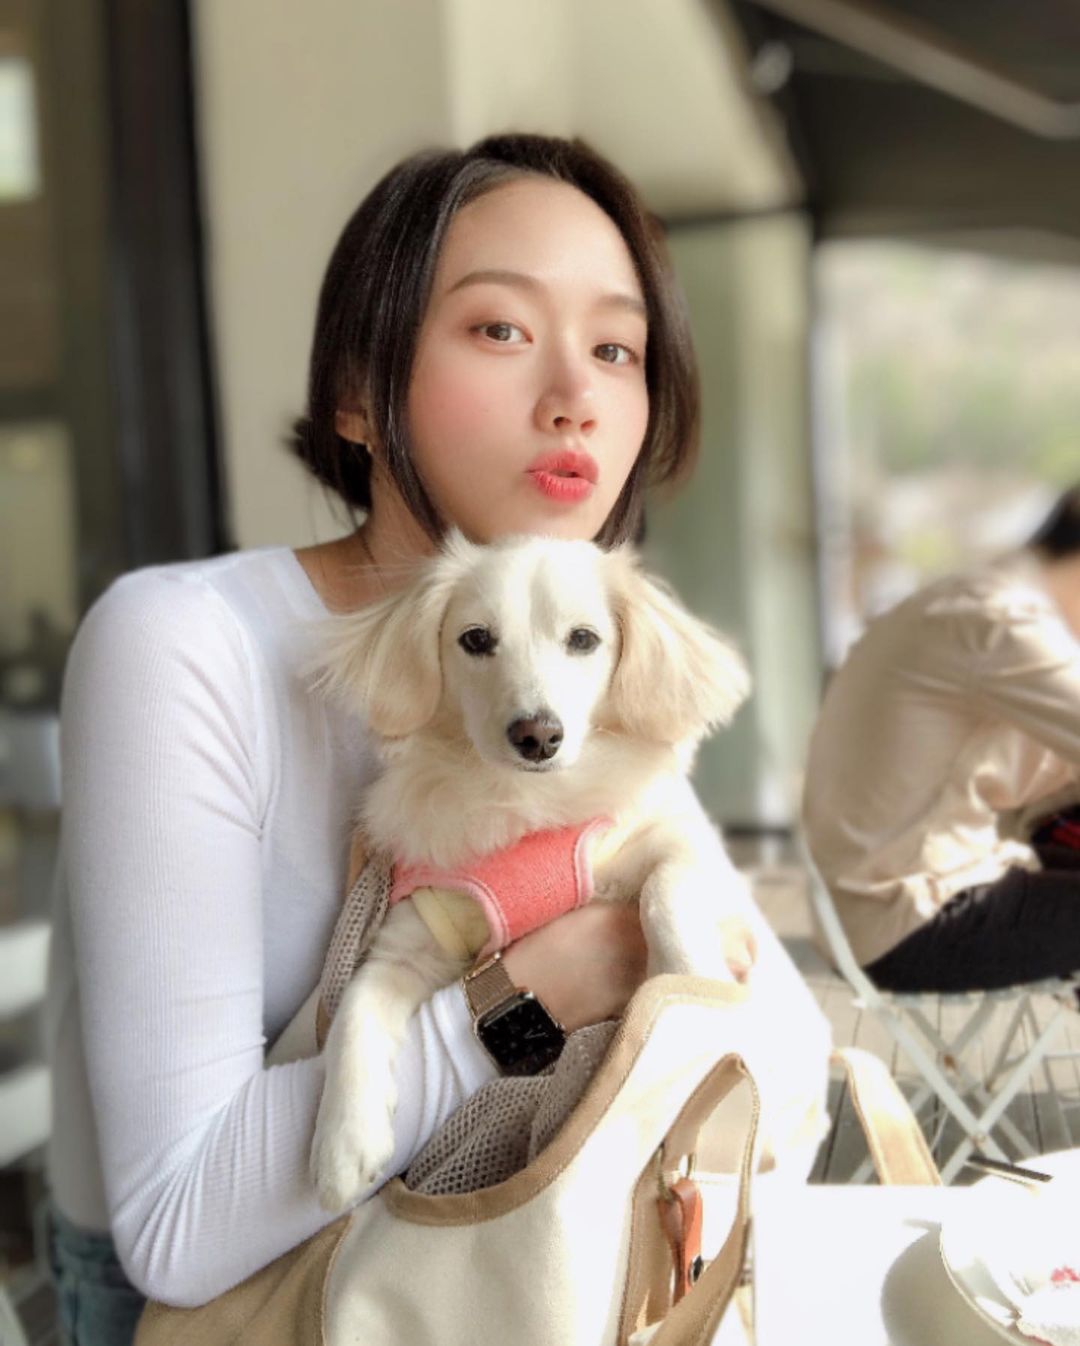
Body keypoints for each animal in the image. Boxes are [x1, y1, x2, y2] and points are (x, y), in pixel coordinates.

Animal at [310, 530, 753, 1212]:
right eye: (475, 639)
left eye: (584, 639)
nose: (537, 735)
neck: (524, 805)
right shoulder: (410, 943)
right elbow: (356, 1008)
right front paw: (342, 1145)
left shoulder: (684, 848)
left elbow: (666, 889)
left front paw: (690, 974)